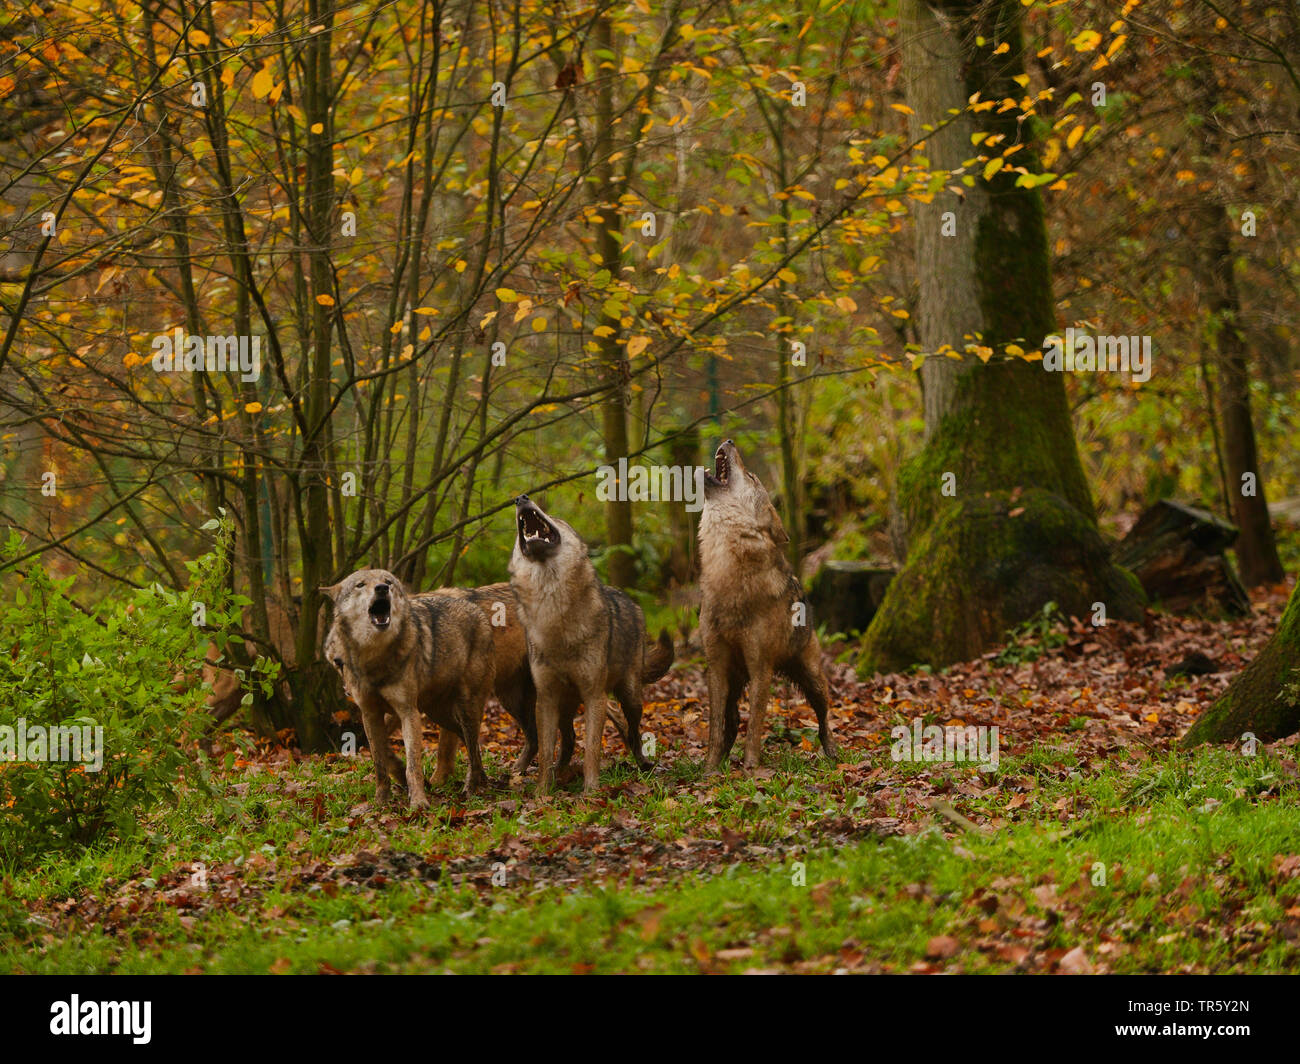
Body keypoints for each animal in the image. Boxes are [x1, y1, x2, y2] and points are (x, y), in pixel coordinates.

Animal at [317, 572, 493, 806]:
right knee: (470, 745)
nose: (382, 588)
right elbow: (380, 761)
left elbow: (413, 765)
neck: (374, 657)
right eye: (360, 585)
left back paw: (471, 789)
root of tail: (478, 611)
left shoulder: (408, 712)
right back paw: (482, 781)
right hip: (439, 714)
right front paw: (381, 801)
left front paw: (418, 802)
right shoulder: (370, 714)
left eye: (388, 582)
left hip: (465, 708)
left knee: (472, 748)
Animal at [504, 494, 676, 785]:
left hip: (630, 697)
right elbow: (546, 752)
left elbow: (592, 750)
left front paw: (591, 790)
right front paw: (543, 791)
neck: (555, 611)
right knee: (571, 739)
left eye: (555, 517)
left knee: (631, 730)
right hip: (566, 705)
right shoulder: (546, 698)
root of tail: (632, 602)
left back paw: (644, 764)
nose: (520, 498)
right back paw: (559, 772)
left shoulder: (594, 694)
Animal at [696, 439, 837, 770]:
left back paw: (833, 754)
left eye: (752, 477)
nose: (729, 440)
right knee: (731, 721)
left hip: (812, 679)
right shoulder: (716, 667)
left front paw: (751, 768)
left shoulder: (761, 667)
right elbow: (715, 727)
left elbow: (755, 726)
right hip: (736, 681)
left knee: (824, 718)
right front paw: (709, 769)